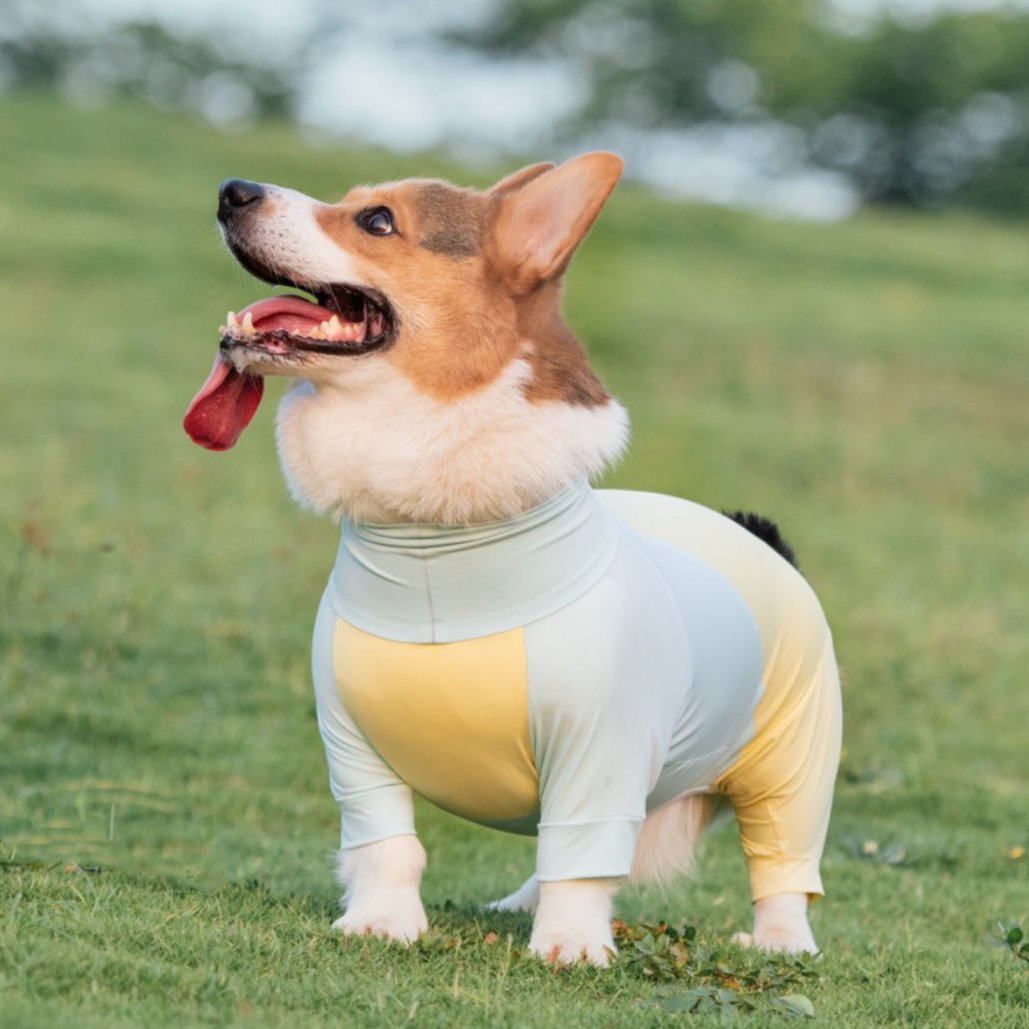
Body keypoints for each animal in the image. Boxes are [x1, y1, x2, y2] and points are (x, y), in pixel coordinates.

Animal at [183, 152, 843, 963]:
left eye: (377, 220)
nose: (231, 191)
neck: (433, 550)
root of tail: (753, 531)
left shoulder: (601, 750)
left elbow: (583, 862)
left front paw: (570, 946)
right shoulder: (353, 749)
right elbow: (387, 847)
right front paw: (382, 922)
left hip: (793, 763)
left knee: (777, 865)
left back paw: (779, 941)